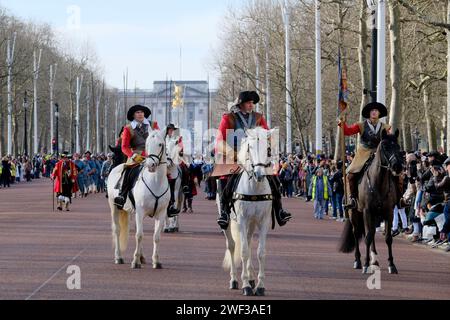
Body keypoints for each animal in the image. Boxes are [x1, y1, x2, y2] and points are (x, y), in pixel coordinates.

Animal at [107, 129, 171, 268]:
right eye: (147, 144)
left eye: (160, 144)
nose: (151, 165)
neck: (155, 182)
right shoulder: (140, 211)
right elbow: (139, 235)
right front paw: (135, 261)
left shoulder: (161, 213)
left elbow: (156, 237)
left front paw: (156, 261)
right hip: (114, 207)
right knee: (117, 230)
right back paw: (118, 257)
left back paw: (142, 257)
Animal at [221, 126, 274, 296]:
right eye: (250, 148)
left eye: (268, 149)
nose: (259, 174)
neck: (255, 188)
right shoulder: (242, 220)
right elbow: (243, 251)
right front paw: (245, 286)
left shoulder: (263, 221)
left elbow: (260, 252)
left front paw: (260, 286)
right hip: (230, 222)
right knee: (232, 245)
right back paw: (234, 280)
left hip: (252, 222)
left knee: (249, 243)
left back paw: (251, 278)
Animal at [342, 129, 404, 274]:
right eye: (385, 146)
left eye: (398, 147)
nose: (397, 167)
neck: (379, 182)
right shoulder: (367, 211)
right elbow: (367, 237)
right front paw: (365, 264)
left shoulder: (388, 212)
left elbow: (388, 238)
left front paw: (392, 265)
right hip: (355, 213)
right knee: (358, 233)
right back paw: (358, 261)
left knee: (371, 233)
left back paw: (374, 261)